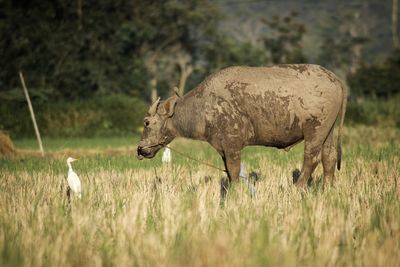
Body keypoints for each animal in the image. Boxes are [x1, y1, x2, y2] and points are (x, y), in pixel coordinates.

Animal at [136, 63, 346, 187]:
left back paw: (298, 187)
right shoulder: (222, 148)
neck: (204, 106)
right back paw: (327, 188)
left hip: (315, 131)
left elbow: (234, 171)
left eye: (146, 122)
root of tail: (335, 79)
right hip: (327, 132)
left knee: (311, 159)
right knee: (329, 157)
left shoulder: (232, 145)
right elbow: (229, 172)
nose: (140, 149)